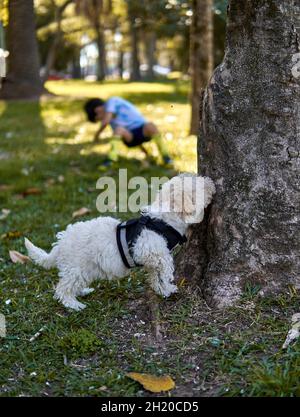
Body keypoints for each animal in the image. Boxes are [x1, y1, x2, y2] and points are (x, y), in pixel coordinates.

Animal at [24, 172, 214, 308]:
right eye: (200, 186)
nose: (211, 182)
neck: (164, 219)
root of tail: (60, 245)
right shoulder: (152, 253)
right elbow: (165, 270)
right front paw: (167, 287)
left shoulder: (151, 260)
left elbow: (155, 275)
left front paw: (161, 290)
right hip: (76, 267)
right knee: (63, 288)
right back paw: (73, 304)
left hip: (83, 269)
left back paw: (83, 291)